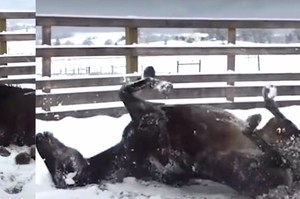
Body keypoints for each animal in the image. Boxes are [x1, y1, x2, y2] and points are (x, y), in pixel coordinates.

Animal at [36, 76, 298, 197]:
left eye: (52, 161)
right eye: (59, 167)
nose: (39, 135)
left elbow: (124, 91)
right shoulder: (147, 114)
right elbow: (123, 91)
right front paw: (161, 85)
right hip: (276, 140)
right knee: (280, 126)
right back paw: (260, 109)